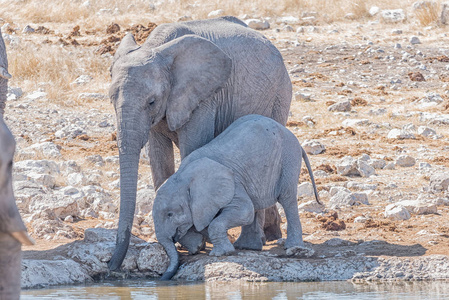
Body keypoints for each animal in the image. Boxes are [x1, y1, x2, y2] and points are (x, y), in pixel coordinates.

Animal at [107, 15, 292, 270]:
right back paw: (270, 235)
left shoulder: (204, 98)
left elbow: (192, 149)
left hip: (278, 95)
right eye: (110, 99)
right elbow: (159, 161)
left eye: (152, 102)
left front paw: (196, 242)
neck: (156, 47)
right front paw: (190, 242)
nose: (111, 266)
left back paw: (251, 244)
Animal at [153, 115, 318, 278]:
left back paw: (292, 246)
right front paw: (198, 246)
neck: (183, 176)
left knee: (287, 198)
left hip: (288, 160)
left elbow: (244, 211)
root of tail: (295, 140)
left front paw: (220, 253)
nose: (165, 277)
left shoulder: (232, 184)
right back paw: (246, 247)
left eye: (169, 214)